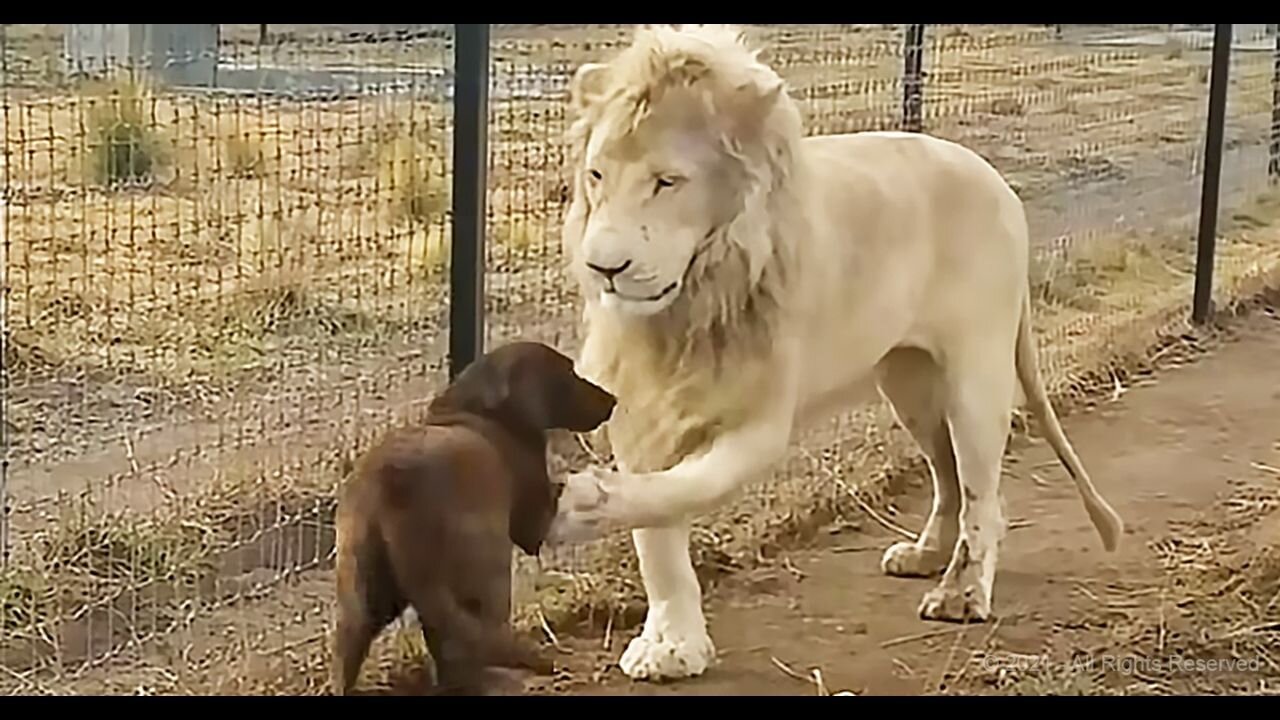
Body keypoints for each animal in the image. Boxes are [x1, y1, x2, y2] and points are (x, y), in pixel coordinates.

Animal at [332, 338, 616, 691]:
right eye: (569, 373)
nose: (613, 400)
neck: (483, 408)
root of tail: (391, 487)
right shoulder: (534, 521)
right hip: (489, 572)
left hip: (364, 597)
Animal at [545, 25, 1126, 681]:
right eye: (596, 175)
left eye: (667, 181)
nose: (603, 267)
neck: (691, 307)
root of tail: (996, 180)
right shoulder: (644, 408)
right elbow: (658, 536)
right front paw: (671, 643)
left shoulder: (760, 415)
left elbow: (688, 487)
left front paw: (582, 503)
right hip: (910, 385)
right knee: (947, 475)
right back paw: (926, 555)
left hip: (974, 376)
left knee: (983, 493)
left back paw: (961, 592)